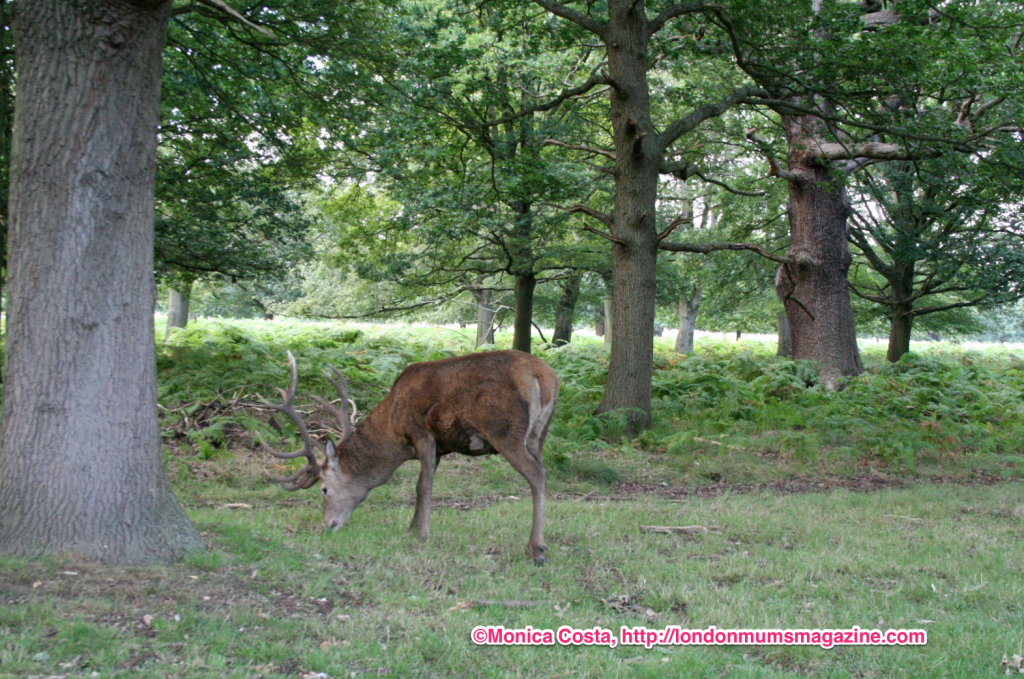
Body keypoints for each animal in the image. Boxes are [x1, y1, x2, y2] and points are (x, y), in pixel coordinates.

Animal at [257, 350, 559, 565]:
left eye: (324, 489)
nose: (327, 525)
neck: (393, 427)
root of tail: (544, 376)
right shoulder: (439, 448)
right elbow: (420, 485)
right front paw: (412, 527)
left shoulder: (421, 432)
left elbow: (424, 486)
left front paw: (422, 534)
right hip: (538, 434)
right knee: (543, 470)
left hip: (504, 429)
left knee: (537, 474)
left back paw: (537, 550)